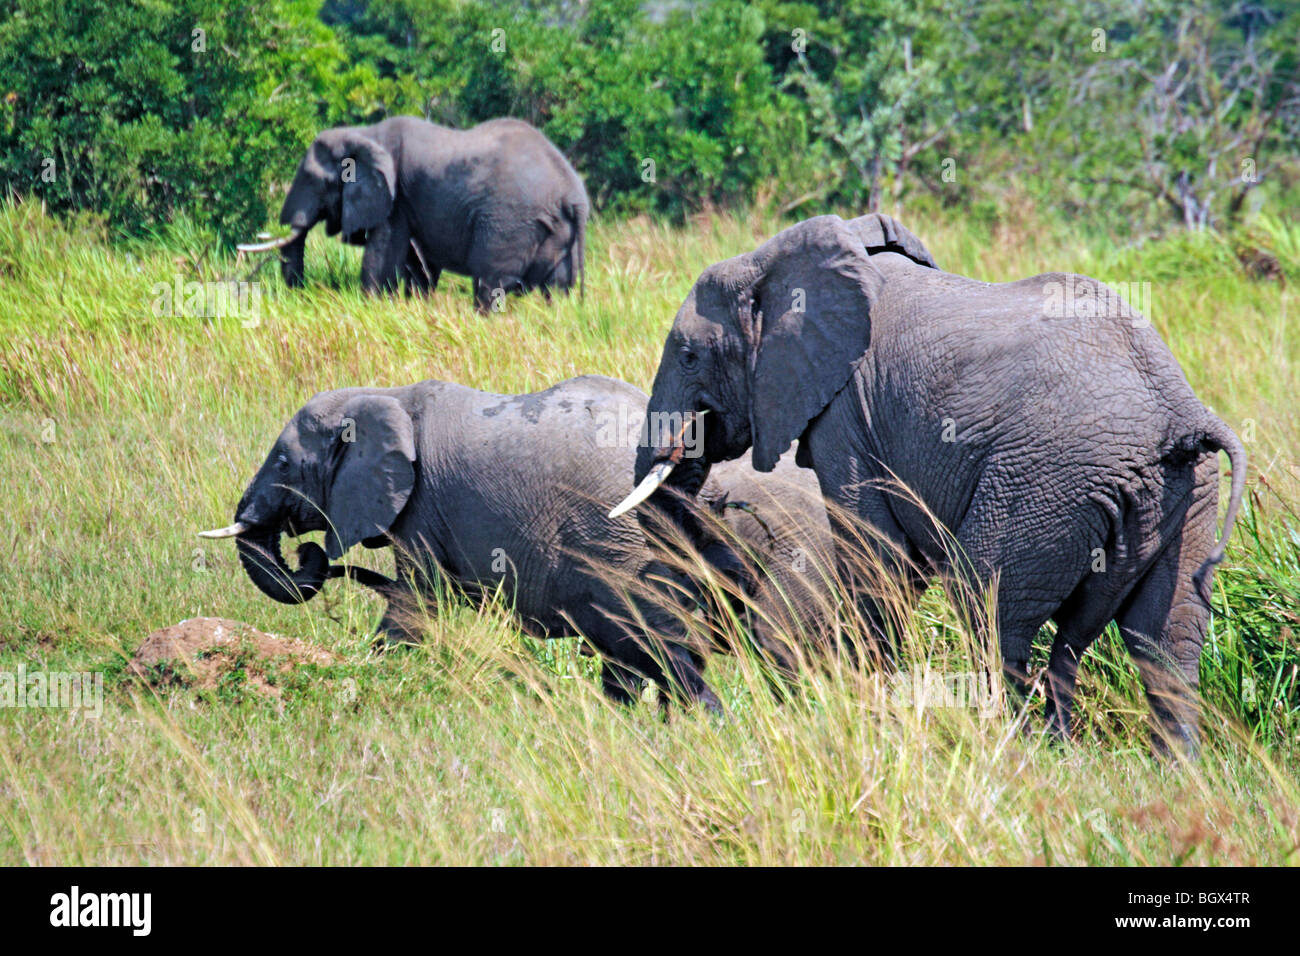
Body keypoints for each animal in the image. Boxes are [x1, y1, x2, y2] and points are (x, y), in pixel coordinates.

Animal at [200, 374, 832, 712]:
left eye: (284, 463)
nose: (307, 557)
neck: (385, 394)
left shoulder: (421, 505)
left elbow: (416, 601)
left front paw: (374, 668)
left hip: (625, 545)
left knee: (657, 648)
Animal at [240, 115, 590, 310]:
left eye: (316, 181)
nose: (302, 294)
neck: (364, 133)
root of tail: (574, 193)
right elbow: (417, 266)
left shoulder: (393, 198)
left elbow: (381, 258)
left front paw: (372, 307)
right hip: (557, 231)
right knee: (557, 289)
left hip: (510, 224)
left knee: (491, 284)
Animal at [618, 213, 1248, 749]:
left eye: (689, 355)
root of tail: (1177, 413)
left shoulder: (847, 413)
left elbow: (878, 555)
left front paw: (868, 718)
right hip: (1187, 497)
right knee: (1165, 640)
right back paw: (1156, 768)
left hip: (1046, 484)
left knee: (990, 608)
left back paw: (1014, 748)